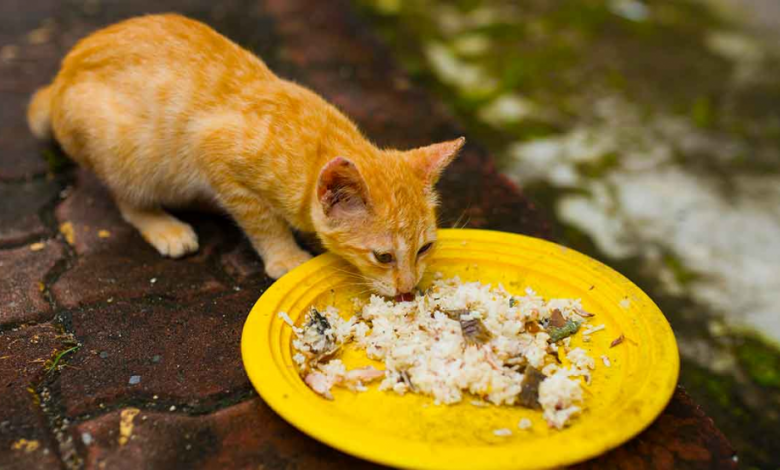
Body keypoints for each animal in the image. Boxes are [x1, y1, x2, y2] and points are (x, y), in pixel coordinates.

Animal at [27, 14, 464, 296]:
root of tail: (60, 78)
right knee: (127, 200)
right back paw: (163, 225)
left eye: (425, 248)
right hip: (124, 153)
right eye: (383, 257)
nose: (409, 289)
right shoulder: (212, 152)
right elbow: (261, 219)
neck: (316, 144)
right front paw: (284, 254)